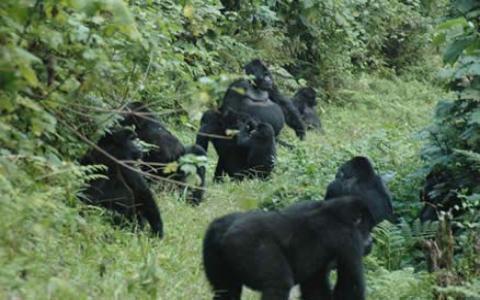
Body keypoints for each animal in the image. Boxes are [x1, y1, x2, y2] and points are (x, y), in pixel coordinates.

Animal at [202, 196, 376, 298]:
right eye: (367, 227)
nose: (370, 241)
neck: (335, 213)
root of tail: (223, 230)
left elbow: (316, 288)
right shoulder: (349, 239)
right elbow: (351, 287)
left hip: (211, 243)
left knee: (226, 290)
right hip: (246, 243)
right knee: (278, 285)